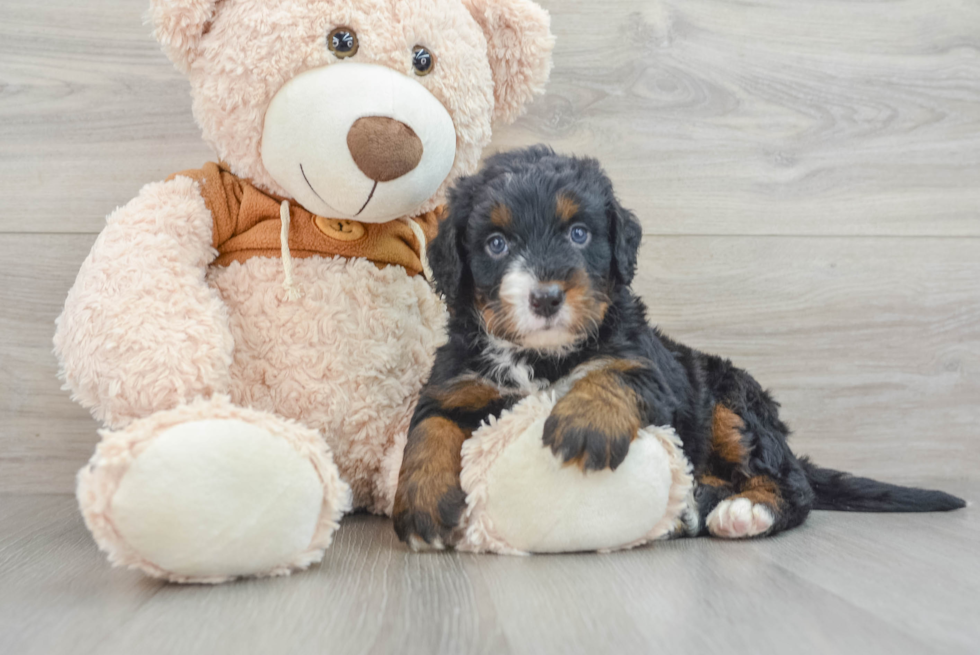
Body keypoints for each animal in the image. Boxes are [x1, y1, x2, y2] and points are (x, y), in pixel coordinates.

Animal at [392, 146, 964, 552]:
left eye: (578, 234)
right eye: (496, 244)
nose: (547, 297)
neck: (544, 357)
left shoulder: (654, 366)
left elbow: (616, 371)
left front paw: (584, 423)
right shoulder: (457, 380)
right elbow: (429, 426)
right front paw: (420, 504)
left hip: (731, 402)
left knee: (792, 481)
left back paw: (744, 510)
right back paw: (699, 502)